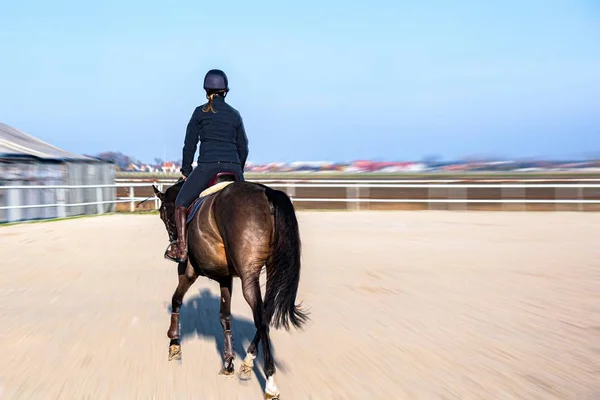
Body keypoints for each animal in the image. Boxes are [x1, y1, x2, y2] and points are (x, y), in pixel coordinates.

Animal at [150, 173, 310, 400]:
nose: (173, 242)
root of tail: (266, 193)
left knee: (261, 319)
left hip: (248, 275)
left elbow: (176, 300)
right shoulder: (225, 278)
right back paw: (248, 361)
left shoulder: (188, 271)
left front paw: (174, 343)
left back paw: (270, 383)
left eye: (163, 214)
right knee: (266, 311)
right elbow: (225, 317)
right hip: (272, 270)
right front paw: (228, 362)